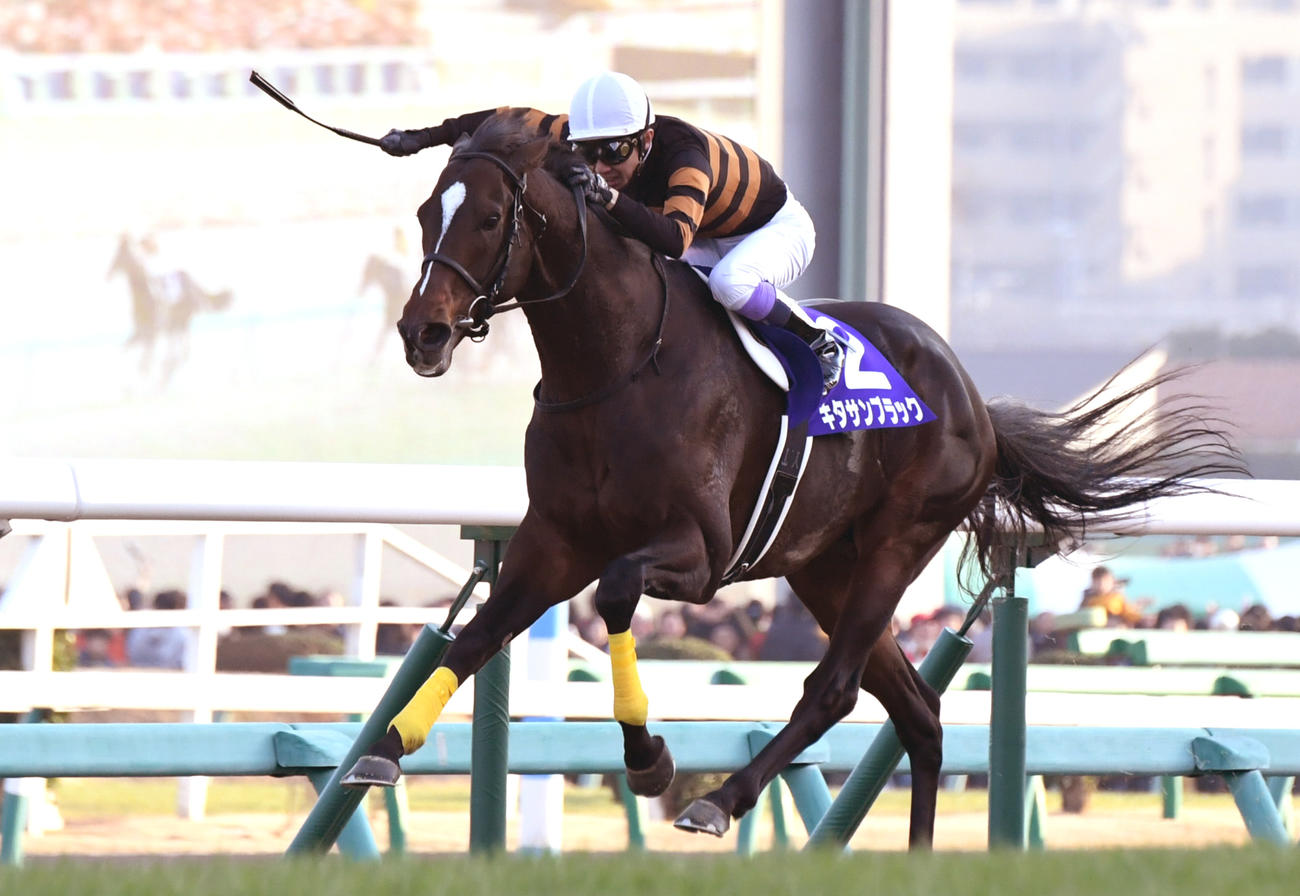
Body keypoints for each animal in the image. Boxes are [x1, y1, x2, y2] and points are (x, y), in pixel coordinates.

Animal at [108, 233, 233, 384]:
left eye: (121, 257)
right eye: (115, 255)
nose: (108, 274)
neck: (147, 296)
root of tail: (192, 282)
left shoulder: (150, 335)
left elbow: (145, 363)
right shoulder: (140, 333)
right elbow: (129, 354)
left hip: (181, 321)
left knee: (181, 345)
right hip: (174, 323)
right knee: (175, 344)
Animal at [343, 113, 1241, 848]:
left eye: (490, 218)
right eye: (427, 214)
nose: (422, 333)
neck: (617, 364)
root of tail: (973, 399)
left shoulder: (701, 551)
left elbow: (619, 592)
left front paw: (650, 756)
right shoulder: (554, 542)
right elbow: (477, 637)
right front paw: (383, 749)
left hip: (897, 541)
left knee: (836, 689)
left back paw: (721, 800)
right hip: (823, 567)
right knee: (917, 712)